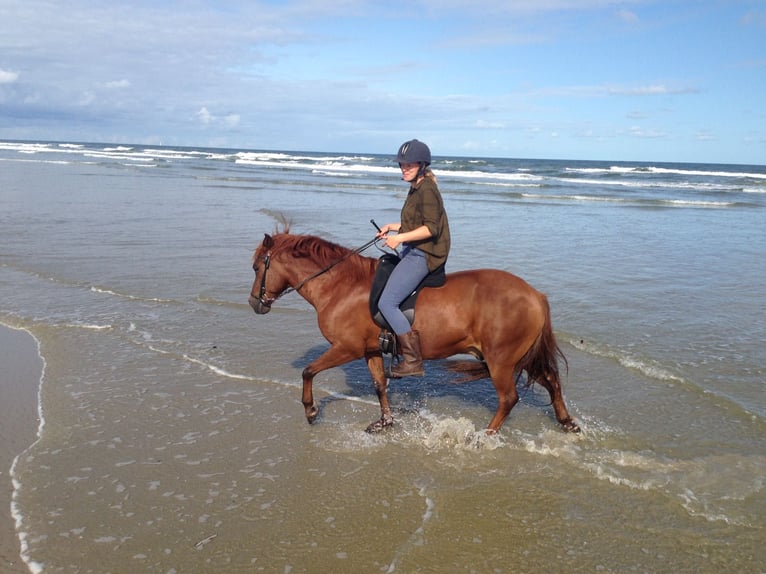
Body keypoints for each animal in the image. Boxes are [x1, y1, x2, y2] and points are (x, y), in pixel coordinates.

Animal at [248, 228, 580, 435]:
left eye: (256, 267)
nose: (254, 303)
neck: (341, 286)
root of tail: (535, 295)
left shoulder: (347, 348)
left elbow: (308, 371)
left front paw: (310, 410)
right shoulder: (370, 350)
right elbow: (379, 385)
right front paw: (384, 422)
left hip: (501, 359)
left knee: (509, 398)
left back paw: (484, 436)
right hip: (519, 356)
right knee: (551, 381)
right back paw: (567, 422)